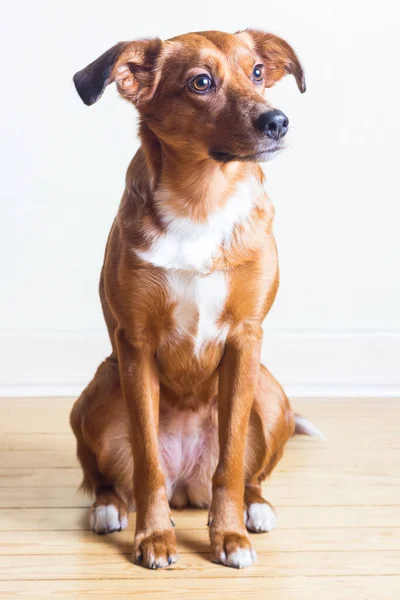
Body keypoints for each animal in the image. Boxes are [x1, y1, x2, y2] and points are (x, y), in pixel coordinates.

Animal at [70, 29, 318, 572]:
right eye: (201, 82)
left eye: (257, 73)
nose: (278, 121)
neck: (203, 197)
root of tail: (188, 484)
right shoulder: (136, 347)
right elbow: (147, 464)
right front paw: (154, 537)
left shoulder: (246, 341)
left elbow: (231, 462)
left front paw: (228, 535)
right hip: (99, 390)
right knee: (106, 476)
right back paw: (109, 509)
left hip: (270, 394)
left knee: (248, 474)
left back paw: (255, 508)